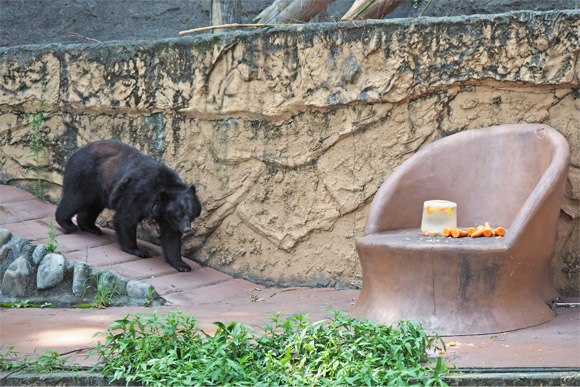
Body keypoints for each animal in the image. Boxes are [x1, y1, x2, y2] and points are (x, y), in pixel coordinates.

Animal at [56, 140, 202, 272]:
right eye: (178, 214)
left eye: (191, 214)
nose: (187, 229)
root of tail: (76, 152)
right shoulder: (137, 193)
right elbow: (126, 218)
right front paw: (138, 250)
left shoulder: (166, 216)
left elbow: (171, 237)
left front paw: (182, 265)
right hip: (85, 175)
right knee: (75, 199)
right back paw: (68, 224)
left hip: (98, 191)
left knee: (92, 207)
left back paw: (91, 227)